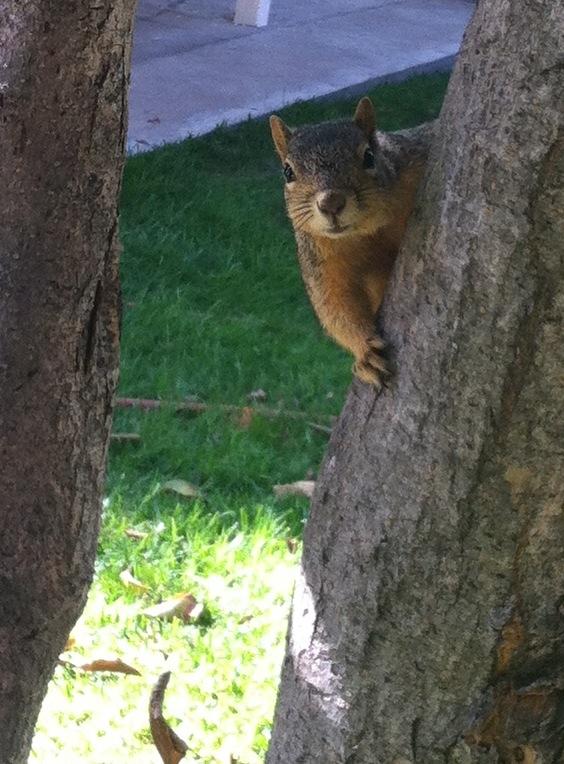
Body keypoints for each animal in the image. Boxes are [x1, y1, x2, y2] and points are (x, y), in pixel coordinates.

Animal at [269, 97, 433, 388]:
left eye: (369, 156)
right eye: (288, 172)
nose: (330, 202)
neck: (367, 231)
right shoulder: (320, 261)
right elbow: (336, 306)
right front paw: (366, 352)